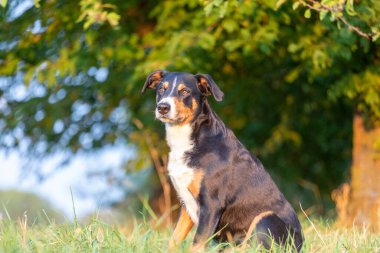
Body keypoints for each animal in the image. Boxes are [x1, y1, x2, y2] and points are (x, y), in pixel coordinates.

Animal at [141, 69, 304, 251]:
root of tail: (300, 244)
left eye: (185, 91)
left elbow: (196, 244)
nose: (163, 107)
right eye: (161, 89)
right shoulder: (186, 205)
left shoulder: (211, 205)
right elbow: (173, 240)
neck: (190, 140)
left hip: (265, 219)